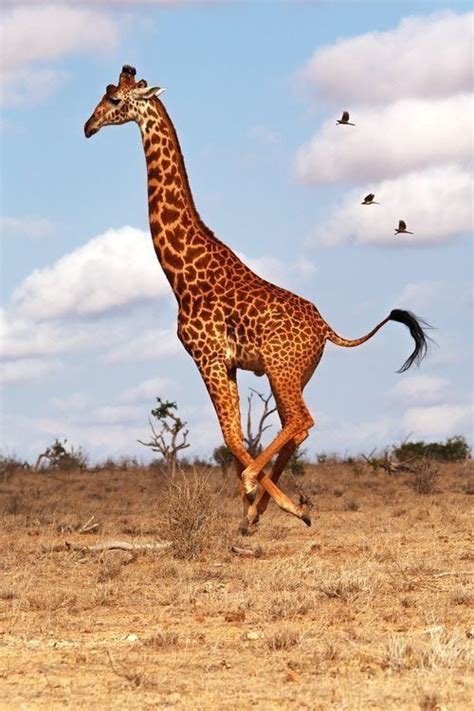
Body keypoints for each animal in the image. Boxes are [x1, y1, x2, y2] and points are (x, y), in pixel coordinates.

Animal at [83, 67, 432, 536]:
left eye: (116, 101)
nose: (88, 127)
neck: (181, 274)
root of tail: (327, 330)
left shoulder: (208, 356)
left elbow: (231, 436)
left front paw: (254, 496)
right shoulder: (226, 362)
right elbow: (232, 436)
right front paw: (250, 513)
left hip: (282, 369)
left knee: (301, 420)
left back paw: (276, 499)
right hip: (294, 373)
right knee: (296, 426)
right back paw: (274, 508)